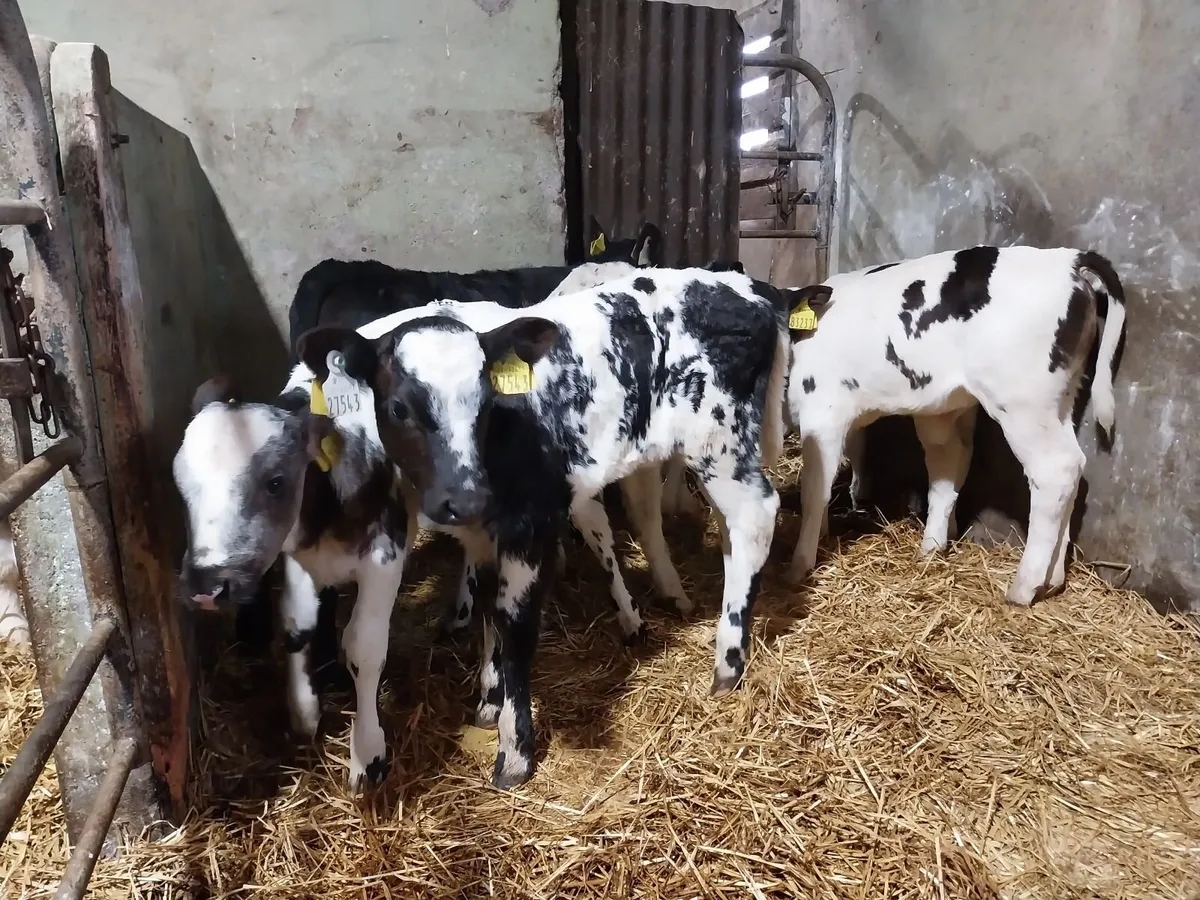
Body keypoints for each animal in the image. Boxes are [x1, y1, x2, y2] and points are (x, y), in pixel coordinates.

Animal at [296, 266, 795, 789]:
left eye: (486, 403)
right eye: (398, 408)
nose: (465, 498)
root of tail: (750, 288)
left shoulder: (531, 524)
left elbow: (514, 628)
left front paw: (515, 751)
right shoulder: (484, 533)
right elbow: (489, 612)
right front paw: (489, 701)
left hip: (719, 440)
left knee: (756, 515)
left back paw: (728, 660)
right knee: (733, 528)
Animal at [783, 246, 1126, 607]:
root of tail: (1068, 259)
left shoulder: (823, 414)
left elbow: (814, 490)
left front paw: (799, 566)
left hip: (1023, 402)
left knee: (1054, 471)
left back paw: (1024, 587)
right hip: (1055, 398)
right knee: (1063, 470)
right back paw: (1052, 578)